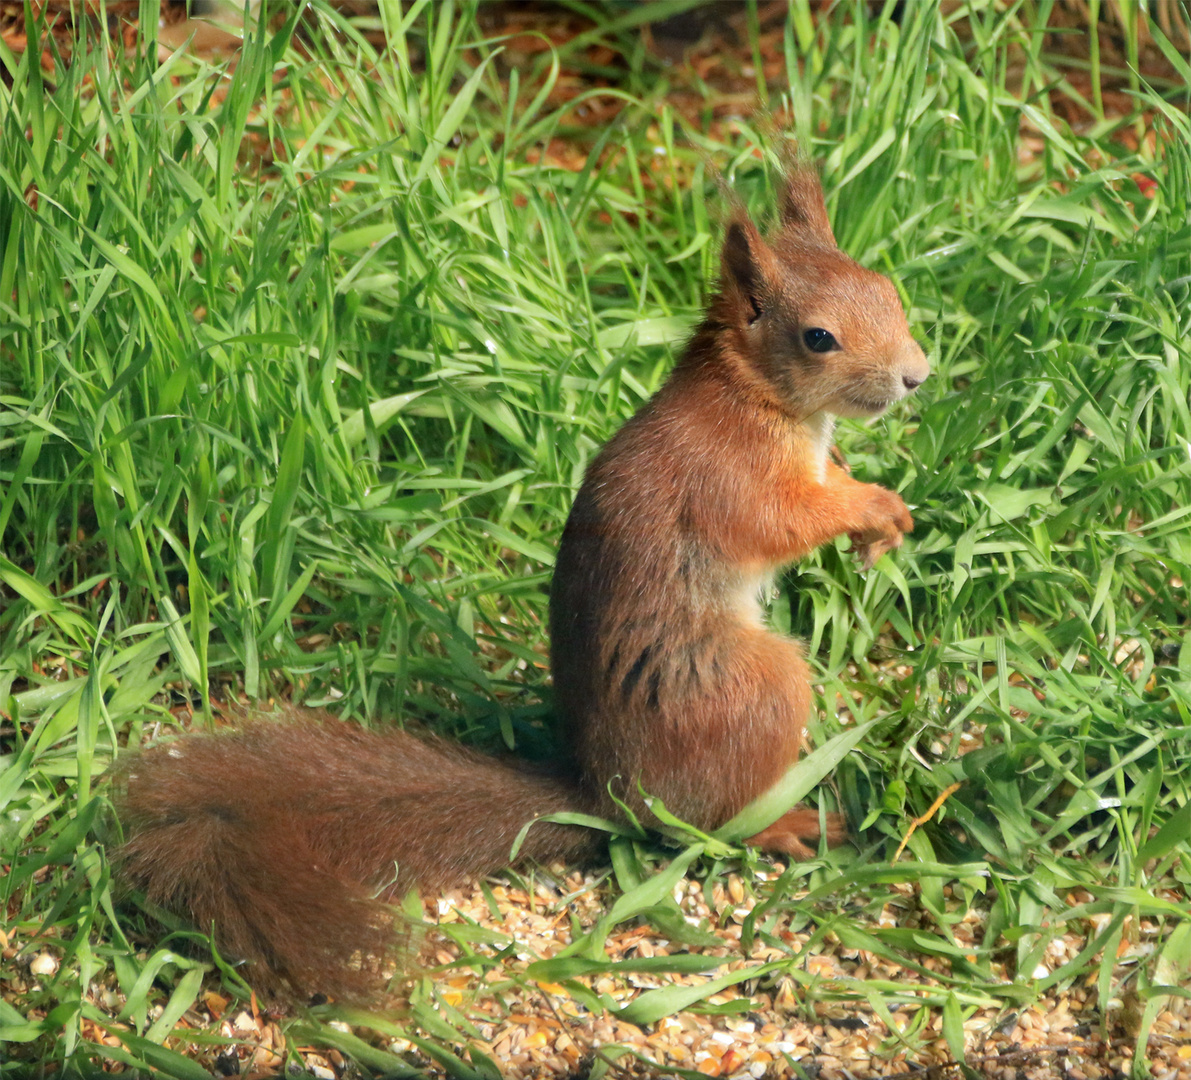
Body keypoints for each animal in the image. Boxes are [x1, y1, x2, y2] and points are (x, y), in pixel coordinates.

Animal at [113, 164, 928, 1000]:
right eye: (817, 337)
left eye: (888, 290)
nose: (915, 377)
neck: (753, 393)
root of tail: (606, 794)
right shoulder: (731, 479)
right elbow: (784, 520)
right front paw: (868, 506)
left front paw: (874, 508)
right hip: (751, 690)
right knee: (705, 821)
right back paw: (782, 825)